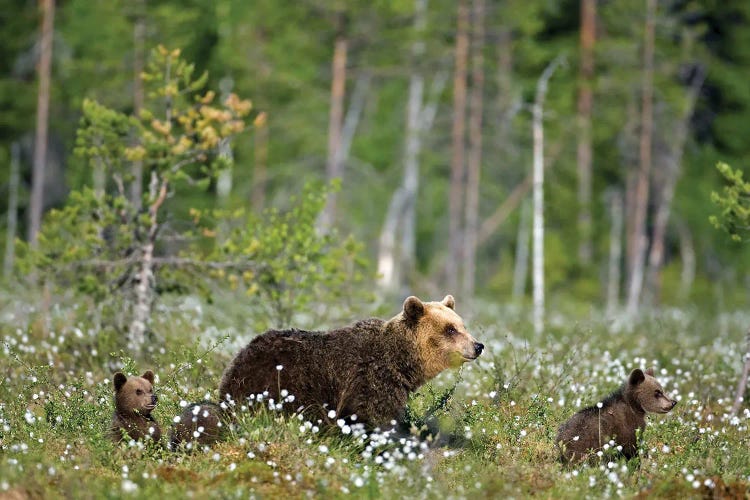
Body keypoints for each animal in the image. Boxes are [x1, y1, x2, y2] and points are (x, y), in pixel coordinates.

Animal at [220, 294, 484, 428]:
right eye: (450, 329)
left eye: (462, 325)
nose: (478, 345)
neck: (400, 361)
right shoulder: (370, 379)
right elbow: (373, 415)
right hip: (283, 380)